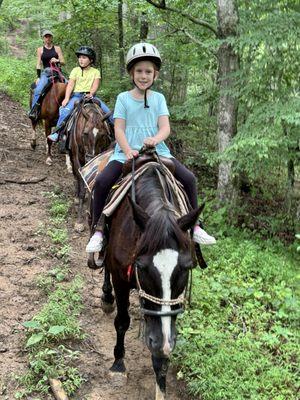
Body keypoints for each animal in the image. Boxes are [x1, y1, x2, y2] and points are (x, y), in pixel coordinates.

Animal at [68, 98, 113, 233]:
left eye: (103, 135)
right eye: (85, 133)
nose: (90, 157)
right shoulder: (78, 159)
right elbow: (83, 189)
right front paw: (79, 221)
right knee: (76, 176)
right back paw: (76, 197)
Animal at [101, 155, 204, 400]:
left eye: (186, 268)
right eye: (141, 266)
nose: (163, 342)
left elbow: (161, 348)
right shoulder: (120, 279)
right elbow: (122, 321)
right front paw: (118, 365)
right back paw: (106, 298)